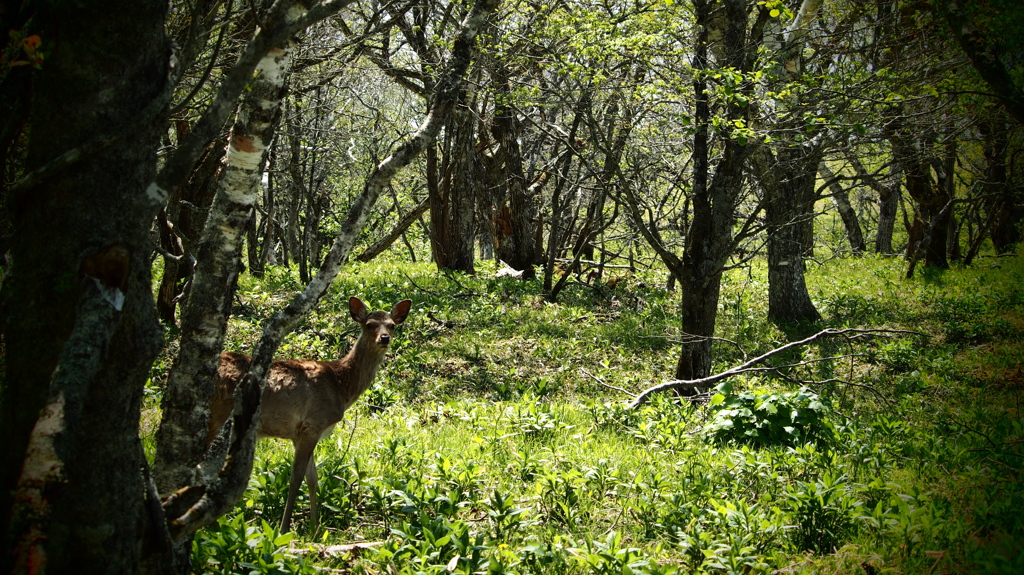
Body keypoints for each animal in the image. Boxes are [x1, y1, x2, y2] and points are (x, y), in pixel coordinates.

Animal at [207, 296, 411, 532]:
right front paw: (284, 529)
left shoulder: (301, 432)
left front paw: (315, 528)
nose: (384, 338)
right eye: (369, 325)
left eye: (392, 325)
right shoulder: (313, 423)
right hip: (219, 415)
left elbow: (312, 478)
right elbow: (296, 478)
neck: (340, 385)